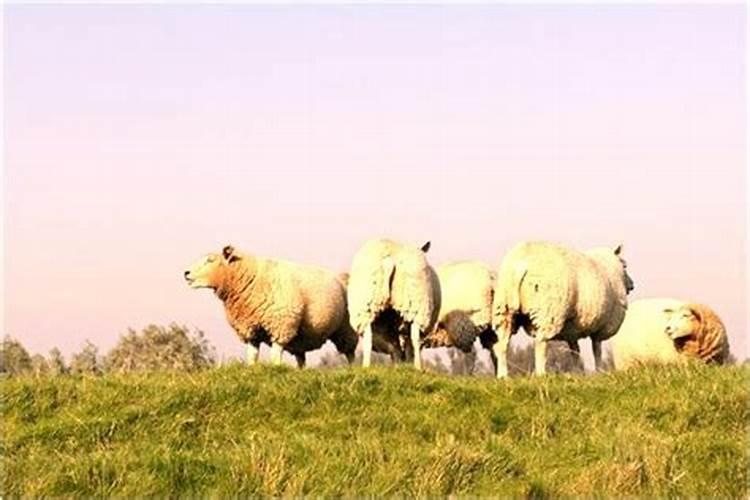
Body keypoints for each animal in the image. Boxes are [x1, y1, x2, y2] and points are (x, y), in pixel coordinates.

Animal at [184, 246, 356, 368]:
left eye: (210, 260)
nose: (186, 273)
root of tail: (342, 277)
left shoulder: (281, 325)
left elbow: (275, 354)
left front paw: (276, 369)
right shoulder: (250, 329)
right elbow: (252, 355)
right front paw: (252, 369)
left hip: (346, 328)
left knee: (350, 352)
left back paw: (352, 370)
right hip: (302, 337)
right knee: (301, 358)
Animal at [350, 238, 444, 372]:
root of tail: (389, 261)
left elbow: (396, 347)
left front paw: (398, 365)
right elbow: (407, 346)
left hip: (366, 307)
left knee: (369, 339)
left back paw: (366, 366)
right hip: (417, 305)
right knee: (415, 339)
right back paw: (418, 367)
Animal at [494, 240, 636, 376]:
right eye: (625, 266)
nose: (632, 285)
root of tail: (521, 264)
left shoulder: (572, 331)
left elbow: (575, 351)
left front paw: (579, 373)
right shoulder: (601, 327)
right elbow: (597, 350)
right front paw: (599, 372)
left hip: (504, 309)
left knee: (502, 343)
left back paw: (503, 375)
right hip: (549, 311)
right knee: (540, 342)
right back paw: (541, 373)